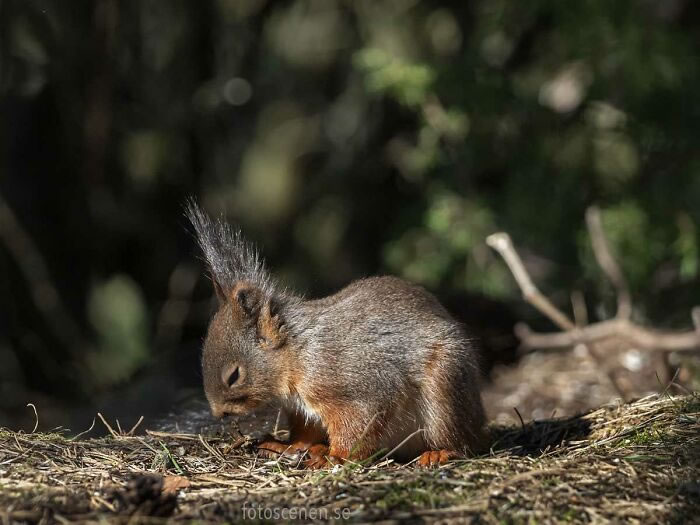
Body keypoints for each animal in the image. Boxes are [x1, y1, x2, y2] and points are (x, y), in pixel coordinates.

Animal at [185, 201, 486, 466]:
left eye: (233, 376)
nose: (219, 413)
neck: (297, 354)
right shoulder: (299, 409)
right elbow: (305, 432)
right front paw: (289, 446)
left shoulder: (355, 386)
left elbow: (358, 425)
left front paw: (336, 457)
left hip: (445, 392)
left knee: (460, 440)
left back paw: (439, 453)